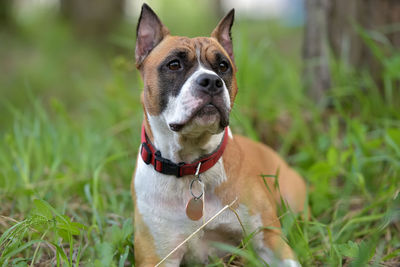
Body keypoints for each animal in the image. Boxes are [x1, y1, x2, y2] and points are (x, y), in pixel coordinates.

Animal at [131, 4, 306, 267]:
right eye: (174, 64)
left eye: (223, 66)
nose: (211, 81)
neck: (191, 165)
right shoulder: (157, 256)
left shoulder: (269, 240)